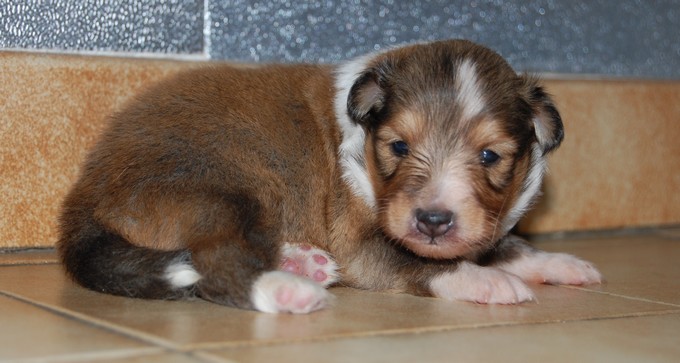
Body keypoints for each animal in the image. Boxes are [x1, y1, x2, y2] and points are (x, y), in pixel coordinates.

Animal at [58, 39, 600, 312]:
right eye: (399, 146)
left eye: (490, 156)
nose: (433, 221)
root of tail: (82, 198)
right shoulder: (362, 244)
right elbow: (422, 262)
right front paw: (489, 282)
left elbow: (509, 245)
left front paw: (564, 263)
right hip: (225, 186)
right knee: (219, 265)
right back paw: (288, 290)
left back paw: (303, 263)